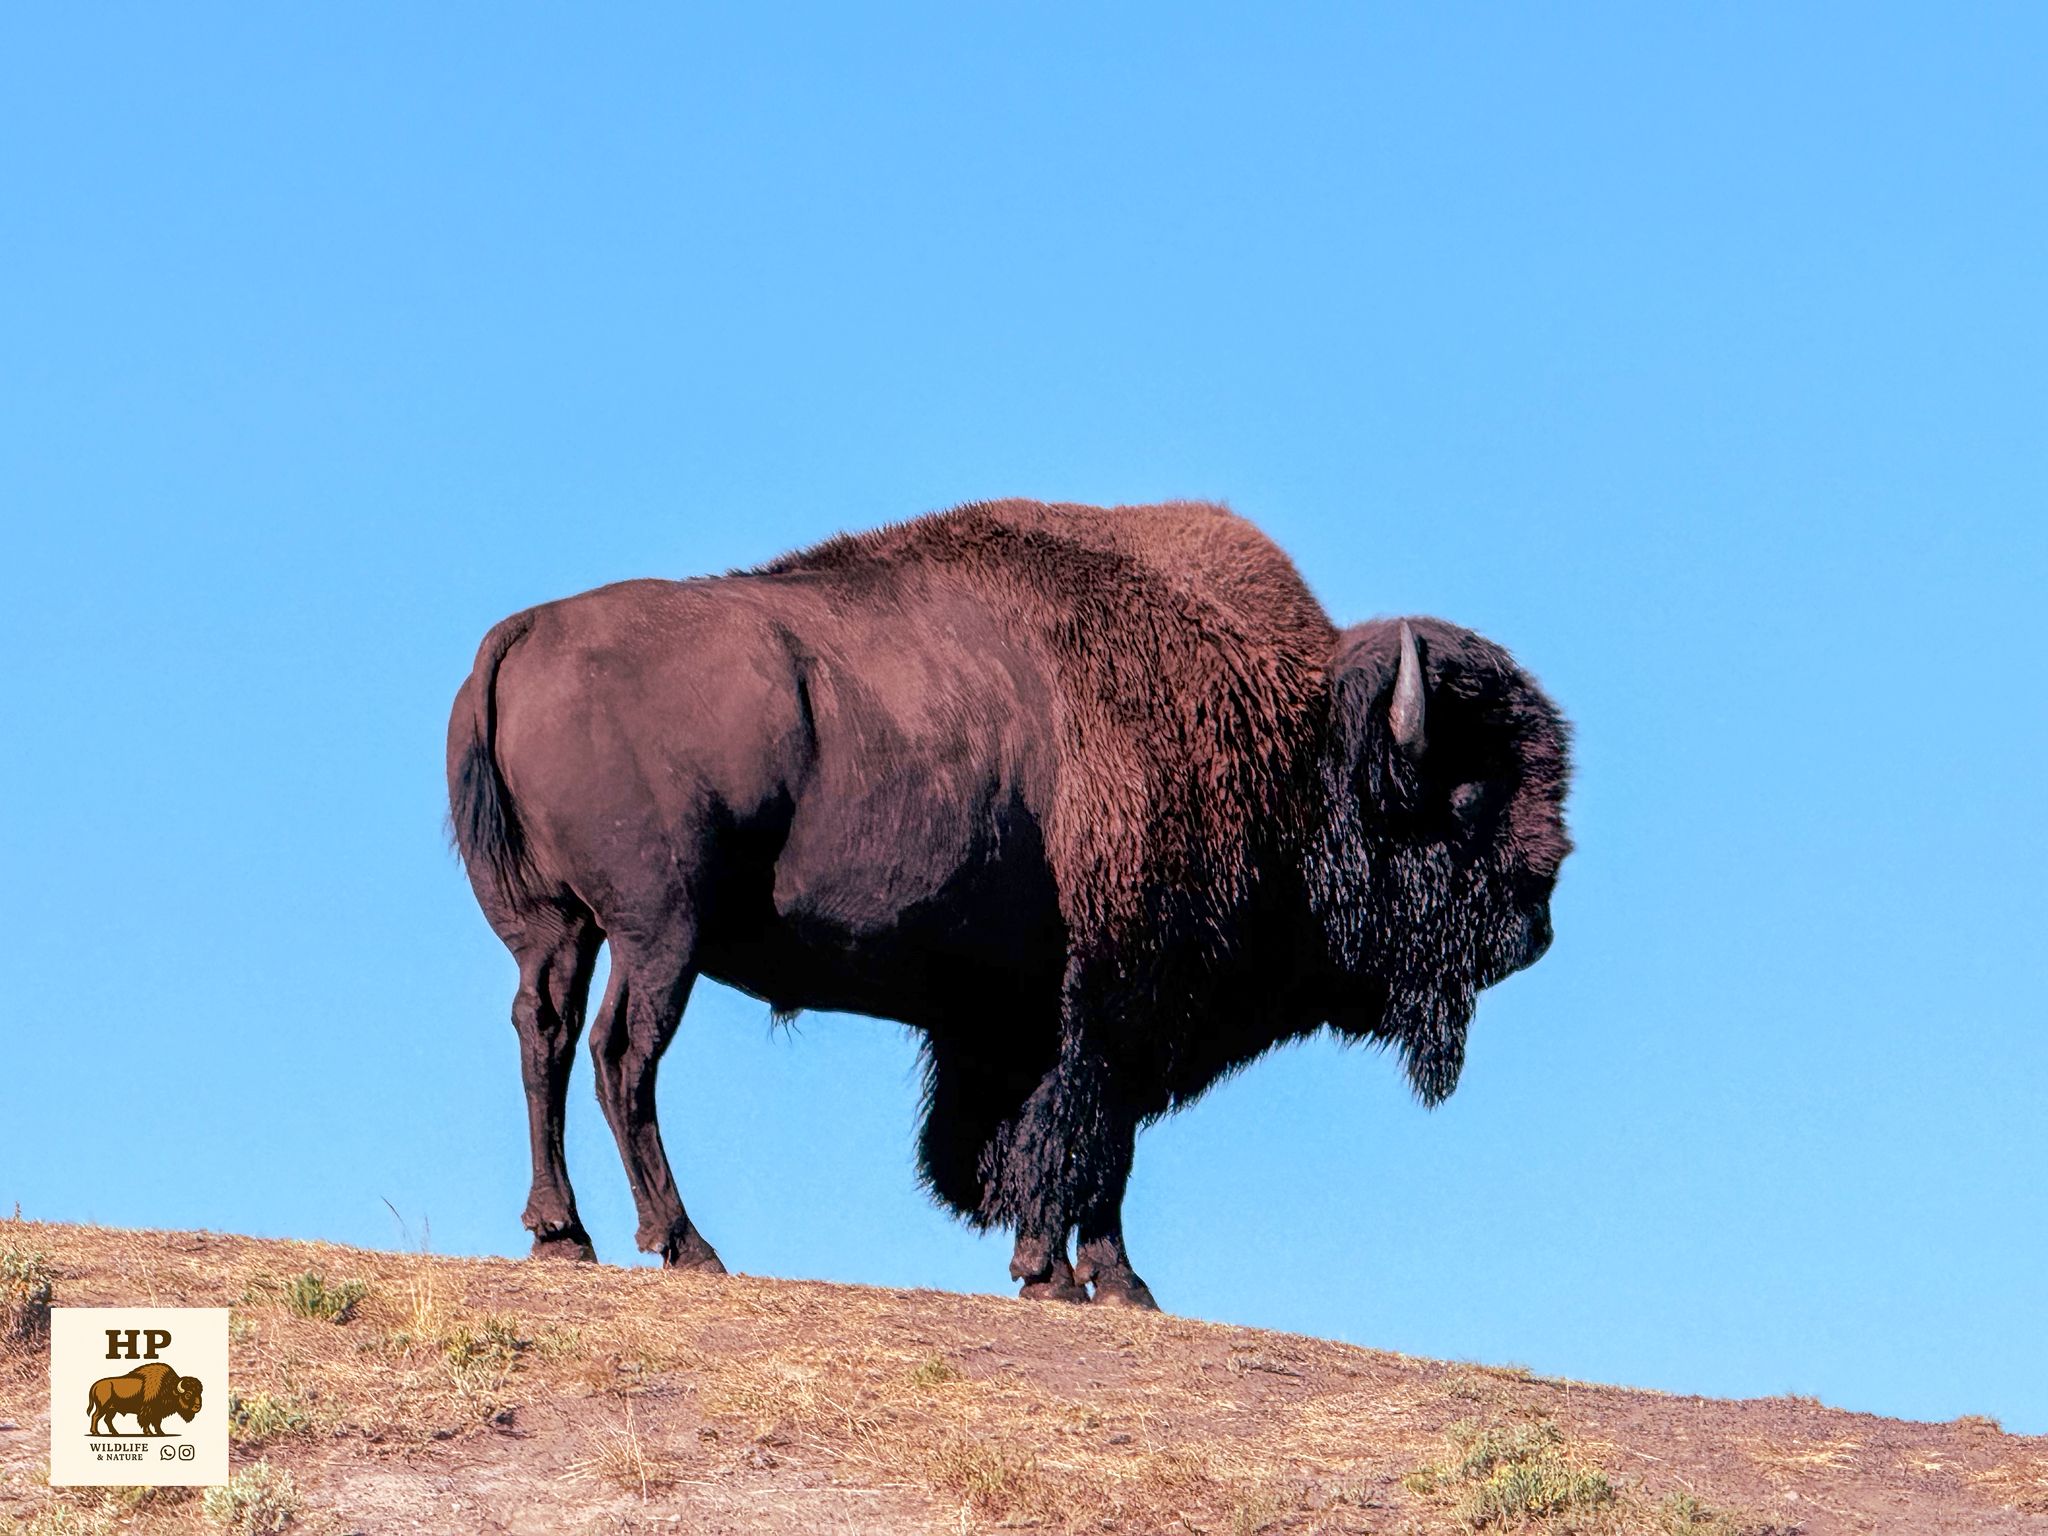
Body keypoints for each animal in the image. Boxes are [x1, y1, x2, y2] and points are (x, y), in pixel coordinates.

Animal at [448, 499, 1571, 1307]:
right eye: (1469, 792)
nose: (1536, 929)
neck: (1282, 731)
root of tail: (523, 634)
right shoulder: (1119, 1003)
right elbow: (1091, 1142)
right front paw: (1102, 1282)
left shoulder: (1025, 1016)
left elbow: (1042, 1136)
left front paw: (1055, 1271)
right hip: (659, 935)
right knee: (621, 1057)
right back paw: (685, 1245)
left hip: (557, 930)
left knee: (543, 1036)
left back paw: (563, 1236)